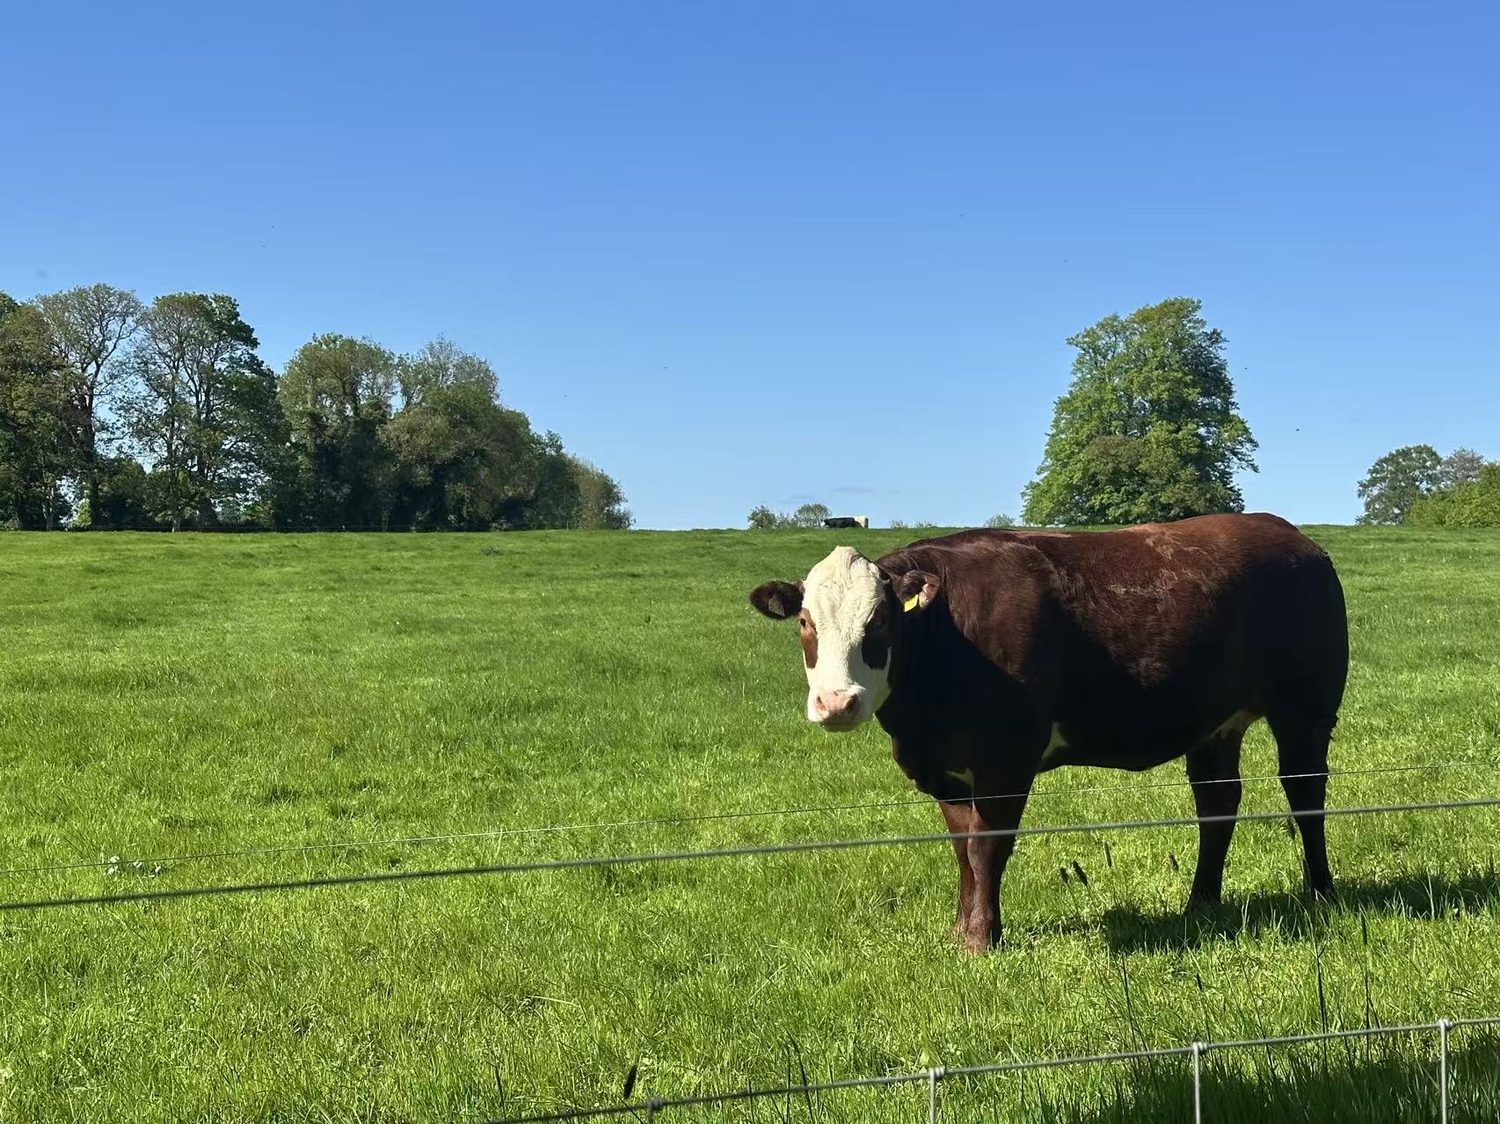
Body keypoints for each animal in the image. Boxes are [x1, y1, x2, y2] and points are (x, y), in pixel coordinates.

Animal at [748, 513, 1348, 953]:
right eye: (805, 621)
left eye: (880, 621)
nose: (837, 702)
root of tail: (1294, 537)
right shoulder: (947, 768)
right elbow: (961, 849)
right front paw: (960, 929)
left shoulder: (1006, 758)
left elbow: (987, 847)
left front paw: (982, 939)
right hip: (1215, 724)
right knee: (1218, 804)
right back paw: (1200, 903)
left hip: (1306, 708)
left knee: (1305, 793)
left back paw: (1320, 891)